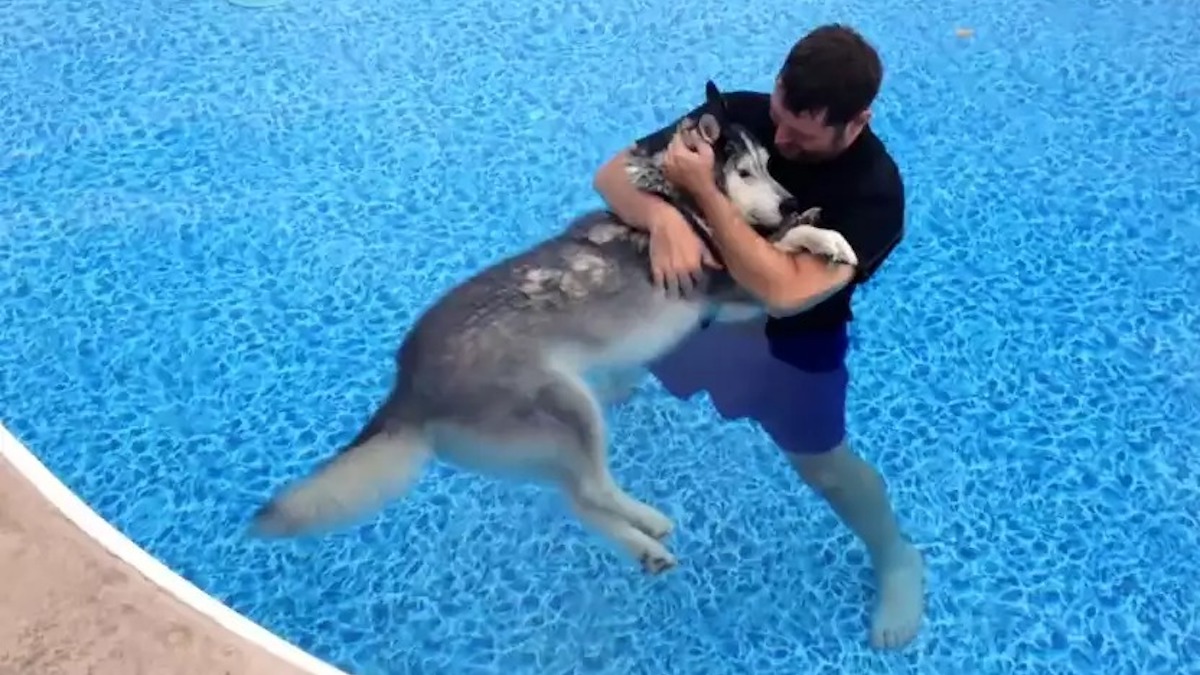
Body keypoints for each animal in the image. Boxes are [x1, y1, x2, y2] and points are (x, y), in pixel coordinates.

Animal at [248, 81, 859, 569]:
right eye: (745, 171)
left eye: (771, 166)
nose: (791, 200)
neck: (672, 192)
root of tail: (407, 386)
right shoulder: (728, 283)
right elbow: (776, 245)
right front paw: (823, 237)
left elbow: (772, 241)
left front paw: (810, 224)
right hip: (570, 407)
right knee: (592, 487)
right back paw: (647, 521)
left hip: (535, 443)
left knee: (577, 497)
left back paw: (644, 547)